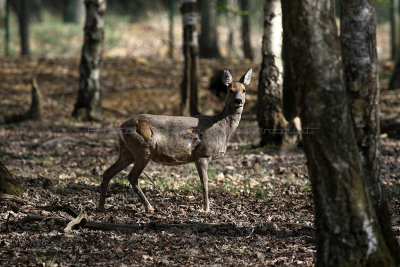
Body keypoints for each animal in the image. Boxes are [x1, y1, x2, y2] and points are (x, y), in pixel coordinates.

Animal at [98, 68, 252, 214]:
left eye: (244, 90)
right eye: (230, 90)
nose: (239, 100)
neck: (222, 128)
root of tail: (120, 128)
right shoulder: (202, 154)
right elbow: (205, 182)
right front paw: (206, 209)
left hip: (127, 152)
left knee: (108, 172)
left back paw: (101, 207)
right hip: (143, 149)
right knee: (132, 177)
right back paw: (149, 207)